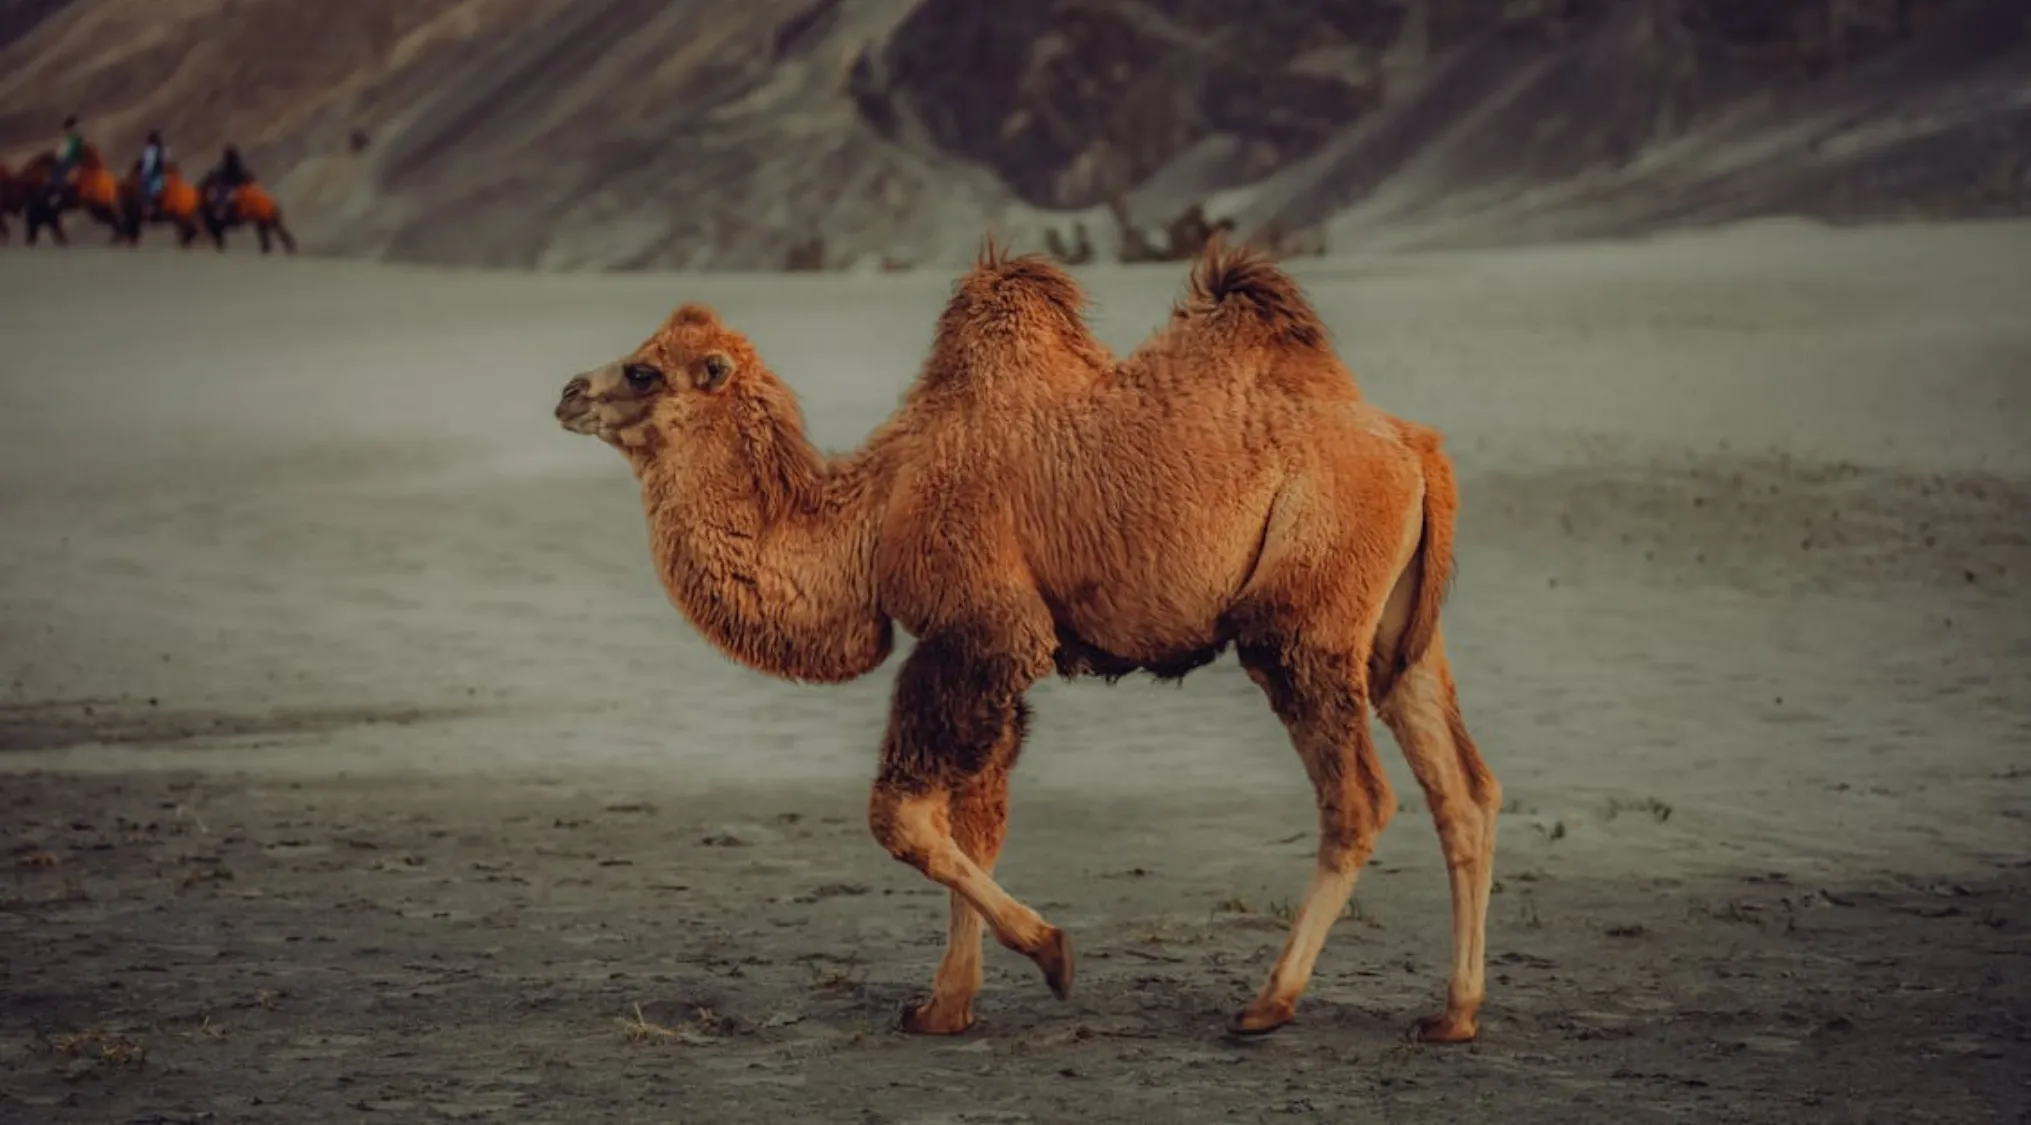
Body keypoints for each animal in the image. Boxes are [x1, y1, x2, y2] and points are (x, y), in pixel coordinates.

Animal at [552, 238, 1501, 1042]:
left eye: (643, 368)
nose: (565, 392)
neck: (872, 514)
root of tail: (1417, 449)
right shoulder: (983, 657)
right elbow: (974, 822)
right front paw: (947, 1005)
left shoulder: (983, 627)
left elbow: (902, 815)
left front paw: (1051, 953)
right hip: (1396, 634)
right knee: (1463, 787)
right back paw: (1452, 1014)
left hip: (1305, 615)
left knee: (1358, 798)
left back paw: (1268, 1001)